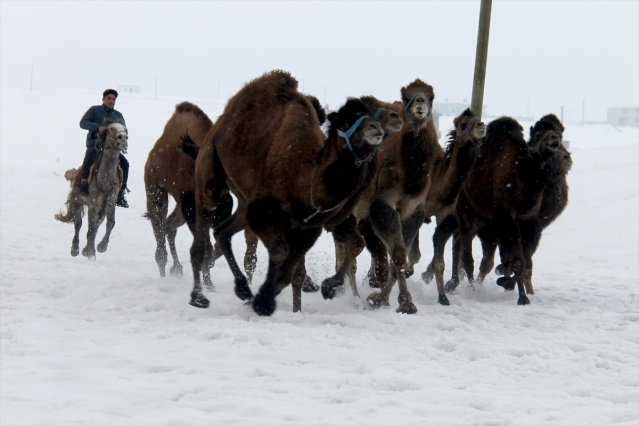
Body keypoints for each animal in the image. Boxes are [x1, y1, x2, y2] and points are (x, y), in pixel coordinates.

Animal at [456, 115, 568, 304]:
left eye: (560, 134)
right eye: (538, 134)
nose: (554, 139)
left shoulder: (529, 221)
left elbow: (523, 260)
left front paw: (509, 283)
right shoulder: (506, 217)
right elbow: (517, 260)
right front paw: (521, 297)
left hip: (488, 224)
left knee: (484, 257)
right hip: (467, 213)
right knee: (467, 255)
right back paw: (470, 289)